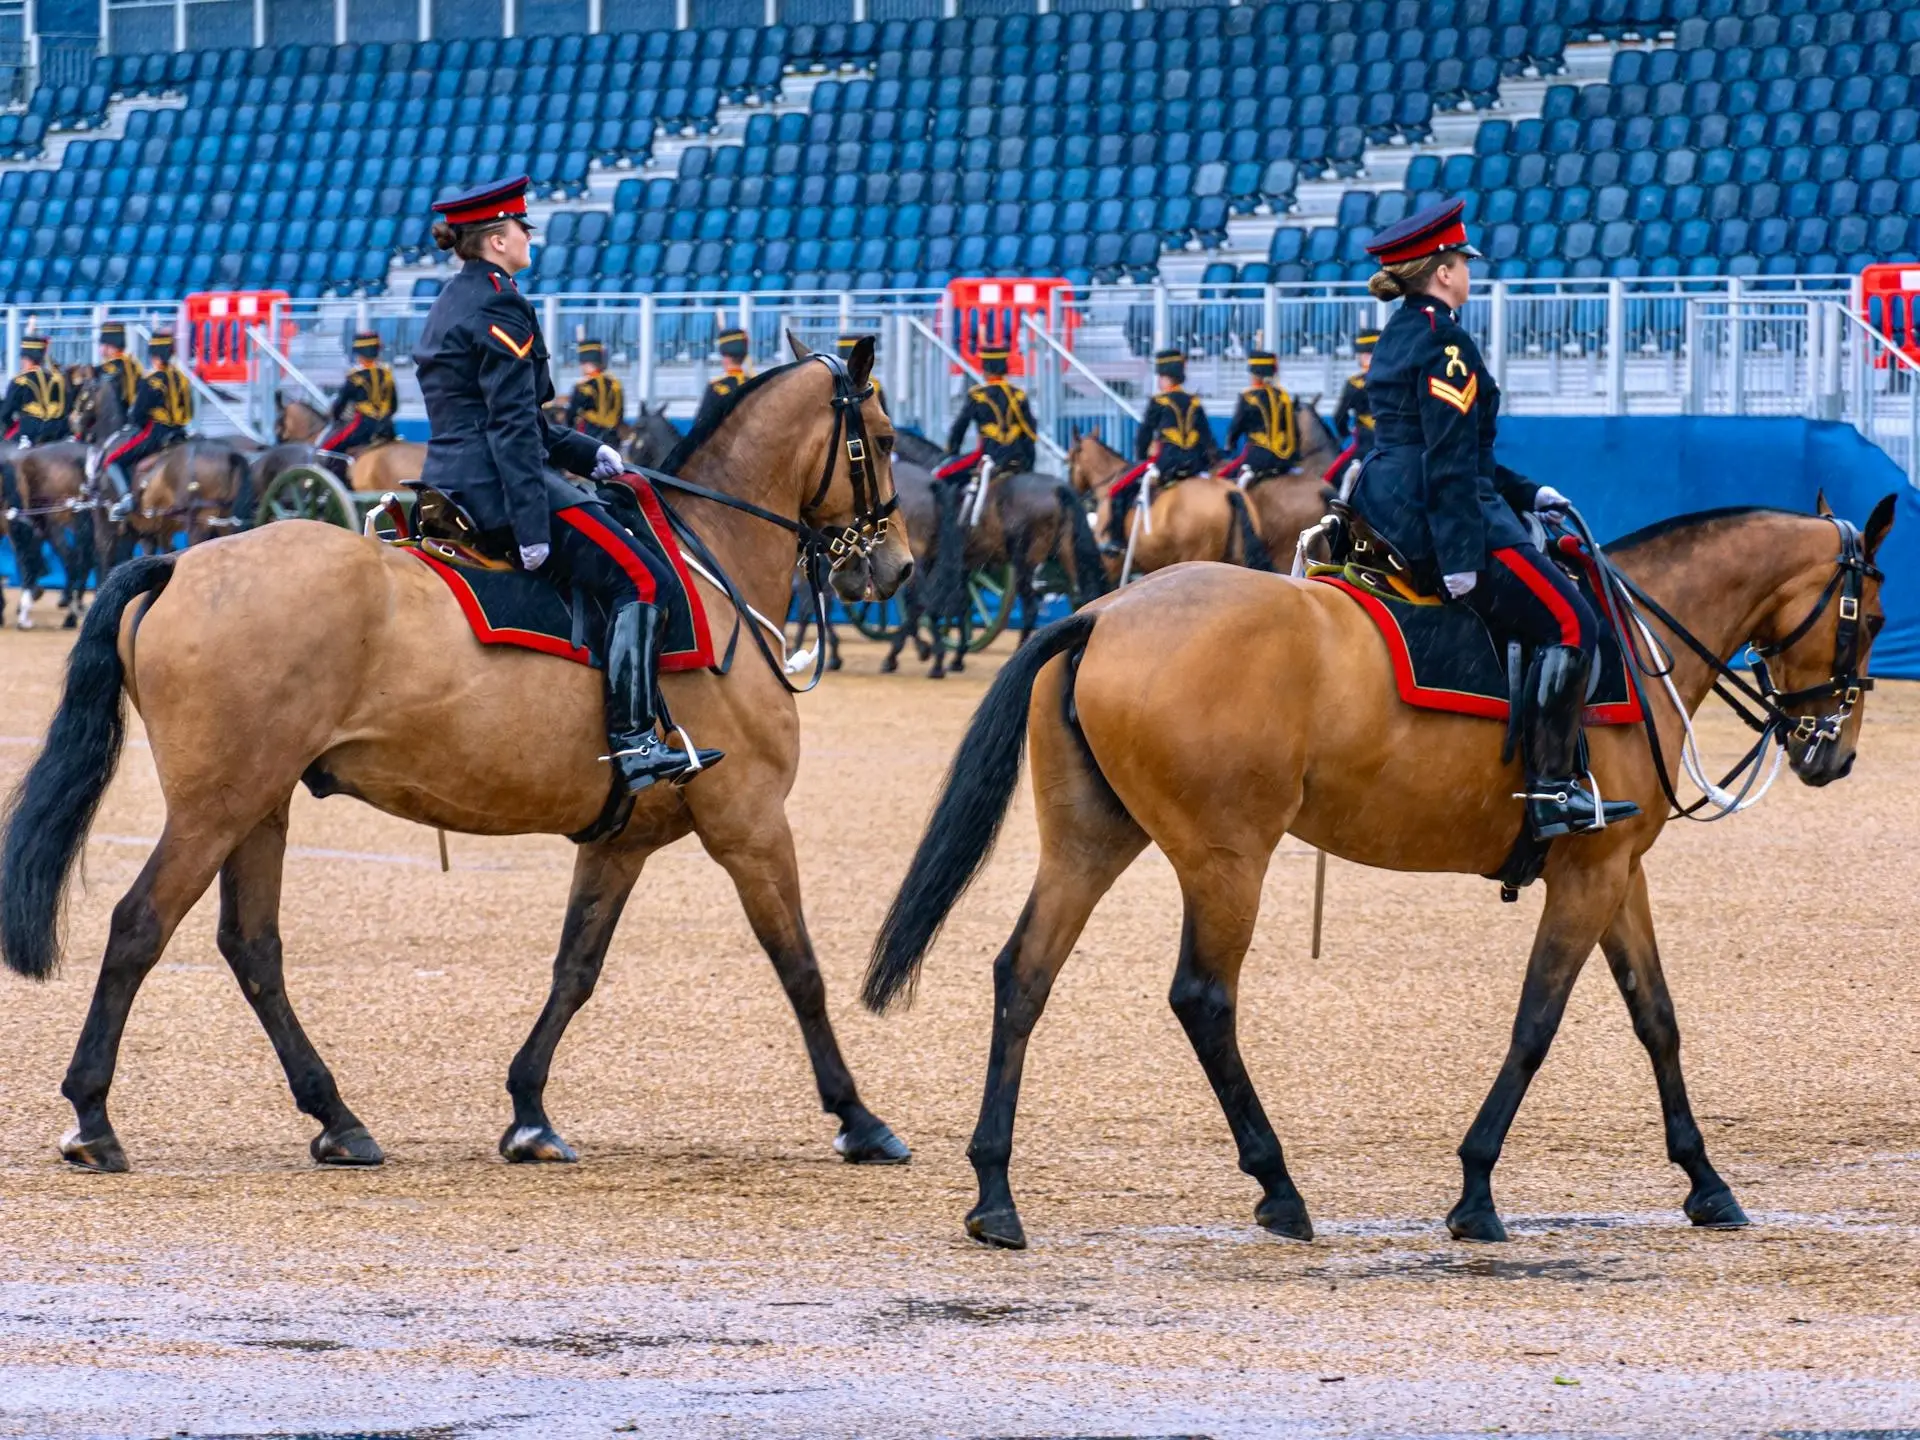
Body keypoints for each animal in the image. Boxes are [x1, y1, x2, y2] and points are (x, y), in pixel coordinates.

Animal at [1, 341, 913, 1182]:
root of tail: (184, 560)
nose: (898, 564)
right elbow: (800, 968)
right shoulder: (750, 823)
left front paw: (530, 1113)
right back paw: (93, 1119)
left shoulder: (621, 841)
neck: (711, 565)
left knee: (252, 948)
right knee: (139, 927)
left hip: (259, 805)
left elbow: (575, 970)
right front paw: (858, 1118)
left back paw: (337, 1119)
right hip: (215, 808)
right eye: (883, 436)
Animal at [864, 503, 1896, 1244]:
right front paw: (1476, 1190)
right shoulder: (1591, 876)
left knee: (1024, 976)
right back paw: (1278, 1185)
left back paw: (996, 1195)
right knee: (1202, 998)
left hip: (1092, 842)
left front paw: (1707, 1181)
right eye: (1872, 618)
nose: (1835, 754)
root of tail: (1102, 610)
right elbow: (1537, 1025)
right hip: (1227, 859)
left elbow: (1658, 1020)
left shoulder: (1614, 873)